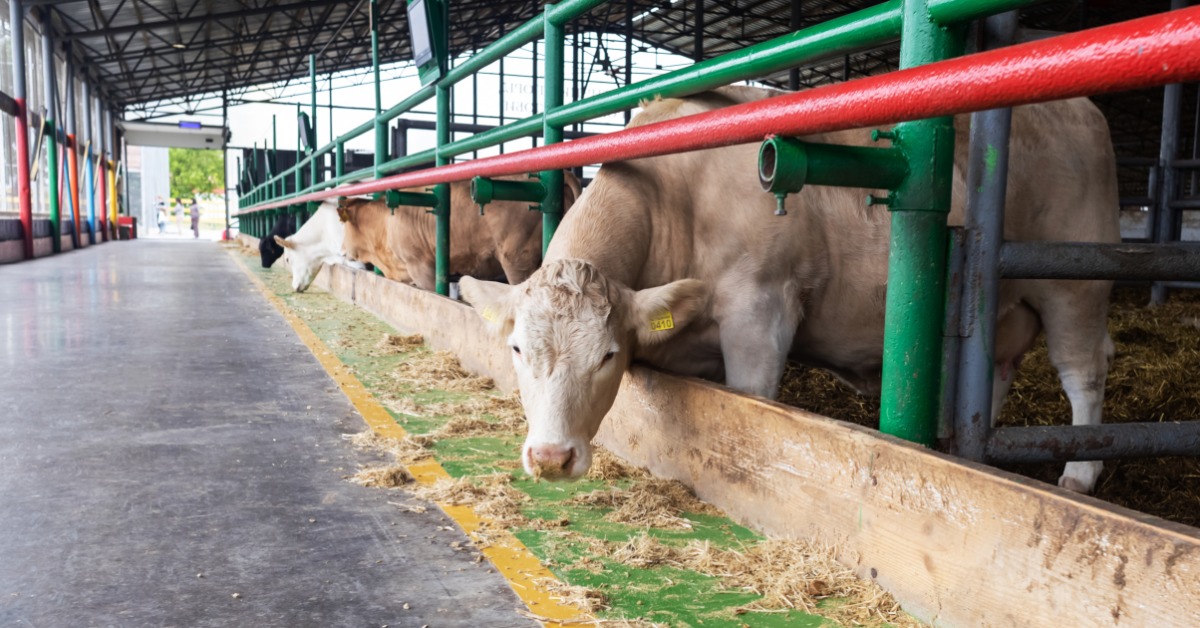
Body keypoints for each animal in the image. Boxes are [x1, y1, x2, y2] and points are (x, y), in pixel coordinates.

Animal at [460, 86, 1119, 493]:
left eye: (608, 356)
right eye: (516, 349)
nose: (551, 458)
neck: (673, 193)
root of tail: (1081, 108)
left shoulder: (761, 311)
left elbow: (751, 404)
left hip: (1073, 281)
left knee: (1084, 370)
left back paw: (1079, 475)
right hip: (1006, 310)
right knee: (997, 374)